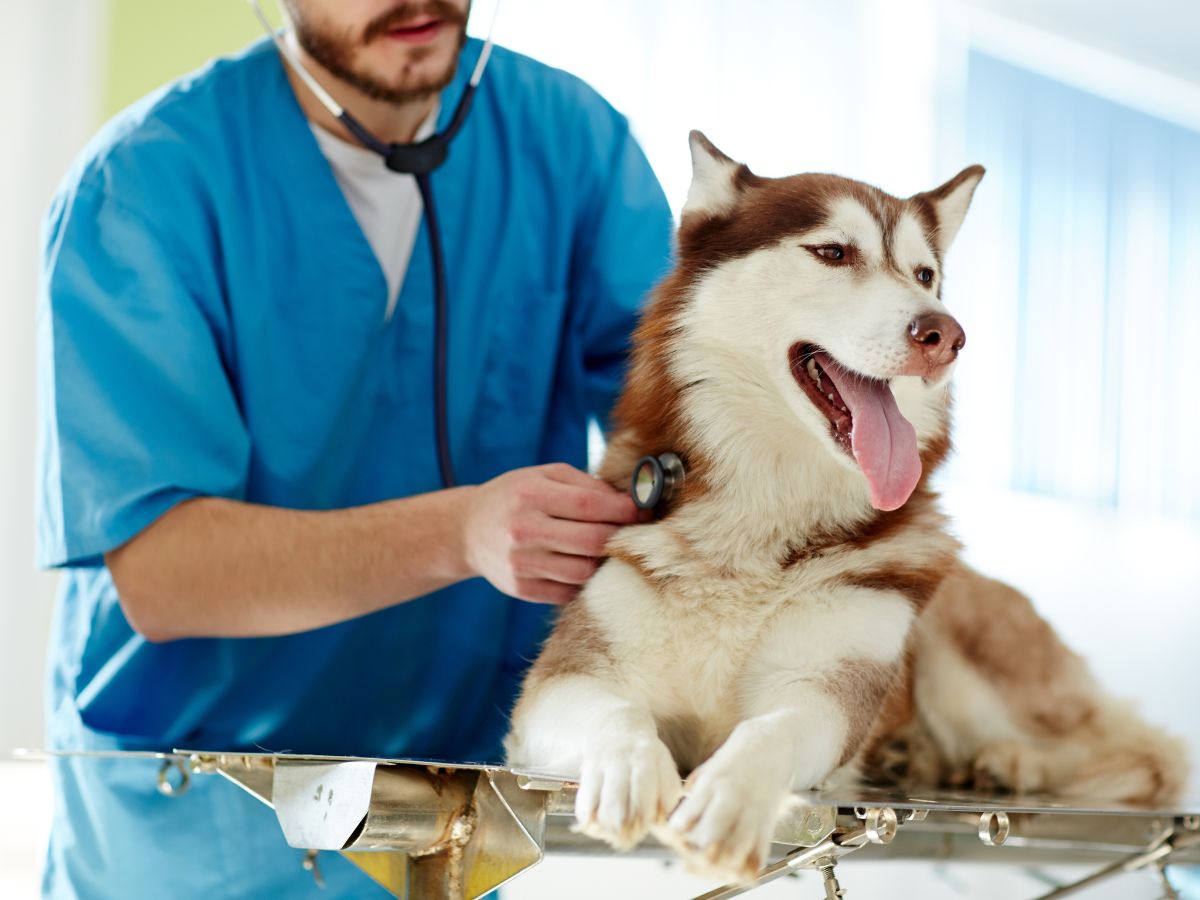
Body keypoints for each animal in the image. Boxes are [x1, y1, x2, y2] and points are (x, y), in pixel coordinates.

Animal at [501, 132, 1185, 883]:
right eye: (833, 252)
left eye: (924, 275)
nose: (946, 334)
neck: (765, 518)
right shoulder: (562, 686)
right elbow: (616, 716)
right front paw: (627, 769)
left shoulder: (825, 692)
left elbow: (771, 730)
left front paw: (730, 796)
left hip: (962, 662)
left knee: (1145, 754)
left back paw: (1011, 761)